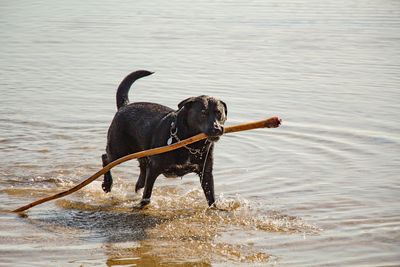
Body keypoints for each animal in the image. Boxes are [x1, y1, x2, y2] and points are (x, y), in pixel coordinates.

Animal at [101, 71, 227, 209]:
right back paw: (107, 184)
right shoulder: (154, 168)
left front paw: (215, 209)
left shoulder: (206, 173)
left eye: (219, 113)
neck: (190, 144)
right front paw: (142, 206)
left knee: (141, 175)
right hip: (119, 150)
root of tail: (125, 106)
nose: (217, 129)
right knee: (106, 158)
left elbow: (211, 198)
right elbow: (147, 195)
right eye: (203, 113)